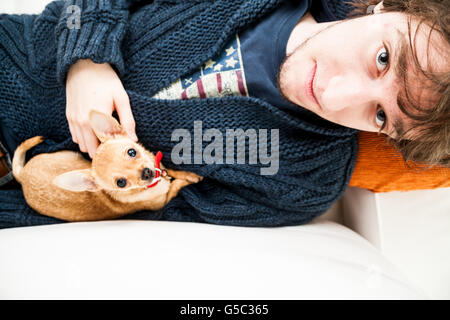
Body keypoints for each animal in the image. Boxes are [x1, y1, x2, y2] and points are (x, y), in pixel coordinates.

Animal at [11, 109, 202, 220]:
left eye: (132, 152)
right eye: (121, 183)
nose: (146, 173)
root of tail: (22, 176)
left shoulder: (157, 164)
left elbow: (171, 170)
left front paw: (188, 174)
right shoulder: (164, 200)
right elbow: (175, 186)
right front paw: (189, 180)